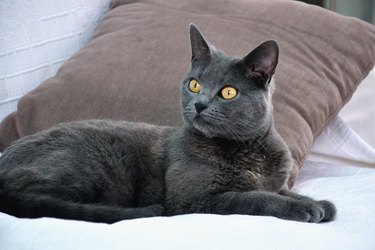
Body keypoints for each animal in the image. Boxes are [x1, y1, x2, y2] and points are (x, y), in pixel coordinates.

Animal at [0, 24, 336, 224]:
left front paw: (318, 202)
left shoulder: (275, 181)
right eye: (195, 84)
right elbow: (252, 198)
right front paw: (306, 208)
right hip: (91, 164)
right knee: (45, 204)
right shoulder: (194, 200)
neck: (246, 149)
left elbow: (279, 191)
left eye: (228, 92)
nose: (199, 104)